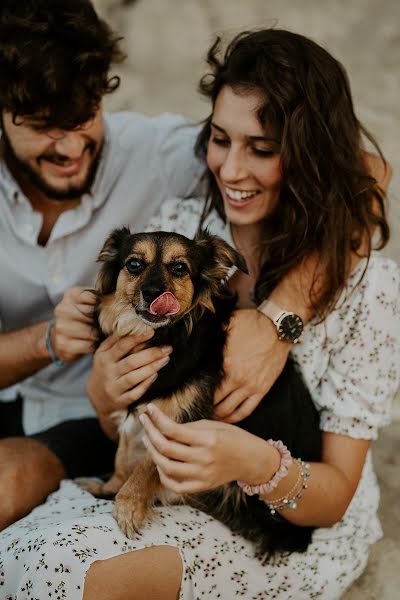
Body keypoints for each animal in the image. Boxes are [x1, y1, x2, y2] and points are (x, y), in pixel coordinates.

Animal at [81, 227, 322, 556]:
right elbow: (123, 454)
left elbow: (147, 464)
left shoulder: (182, 424)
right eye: (134, 264)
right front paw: (110, 487)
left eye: (179, 268)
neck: (166, 336)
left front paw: (128, 504)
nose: (153, 293)